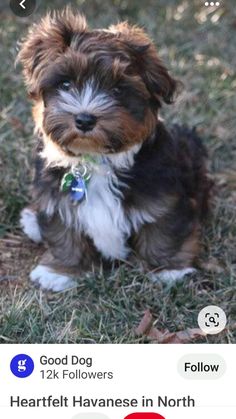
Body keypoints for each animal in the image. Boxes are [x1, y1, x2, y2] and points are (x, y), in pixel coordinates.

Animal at [18, 8, 210, 290]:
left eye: (118, 90)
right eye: (65, 84)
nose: (84, 120)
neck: (96, 159)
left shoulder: (165, 197)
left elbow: (162, 228)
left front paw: (168, 270)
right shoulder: (55, 198)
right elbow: (63, 231)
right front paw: (60, 271)